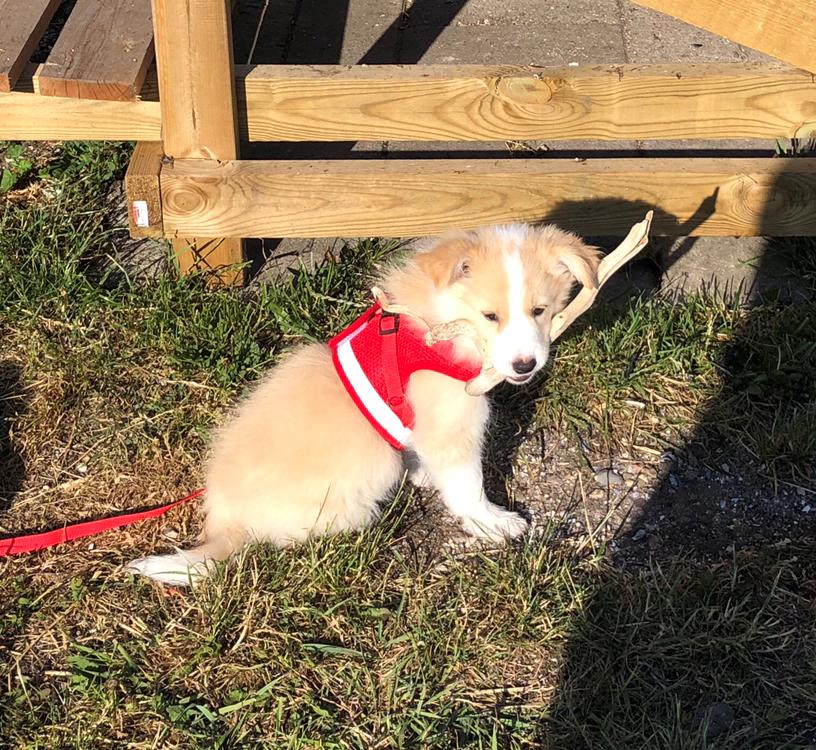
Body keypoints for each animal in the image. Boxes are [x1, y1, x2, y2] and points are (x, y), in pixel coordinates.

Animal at [127, 223, 600, 588]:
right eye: (491, 316)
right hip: (370, 470)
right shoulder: (452, 425)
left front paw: (428, 474)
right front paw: (494, 523)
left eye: (539, 310)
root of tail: (223, 524)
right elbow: (468, 487)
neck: (442, 324)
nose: (525, 365)